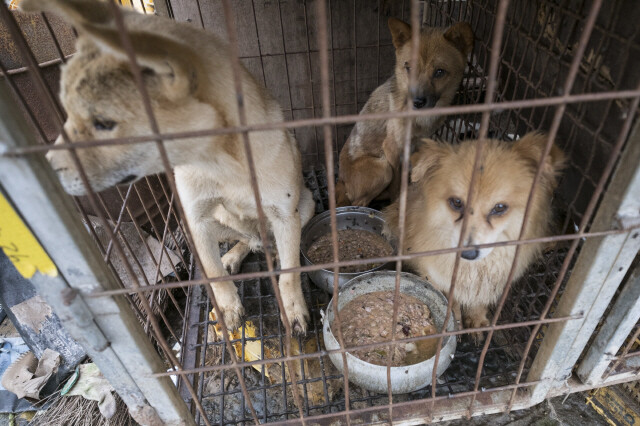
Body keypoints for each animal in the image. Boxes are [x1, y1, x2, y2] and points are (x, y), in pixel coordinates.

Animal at [22, 0, 316, 332]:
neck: (223, 163)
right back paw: (234, 256)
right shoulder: (196, 220)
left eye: (104, 123)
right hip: (210, 226)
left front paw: (293, 310)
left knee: (270, 245)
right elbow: (213, 274)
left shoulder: (285, 216)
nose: (42, 170)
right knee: (244, 241)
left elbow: (290, 274)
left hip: (306, 206)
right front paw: (228, 308)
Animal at [336, 17, 476, 207]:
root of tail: (341, 182)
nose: (416, 101)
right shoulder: (392, 149)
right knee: (359, 202)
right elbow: (397, 185)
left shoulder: (417, 143)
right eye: (408, 68)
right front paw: (398, 202)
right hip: (383, 169)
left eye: (439, 72)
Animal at [382, 133, 564, 340]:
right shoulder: (436, 276)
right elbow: (451, 301)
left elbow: (479, 301)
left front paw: (476, 320)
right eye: (456, 202)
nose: (468, 253)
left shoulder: (491, 280)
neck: (473, 268)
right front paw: (456, 323)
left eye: (499, 207)